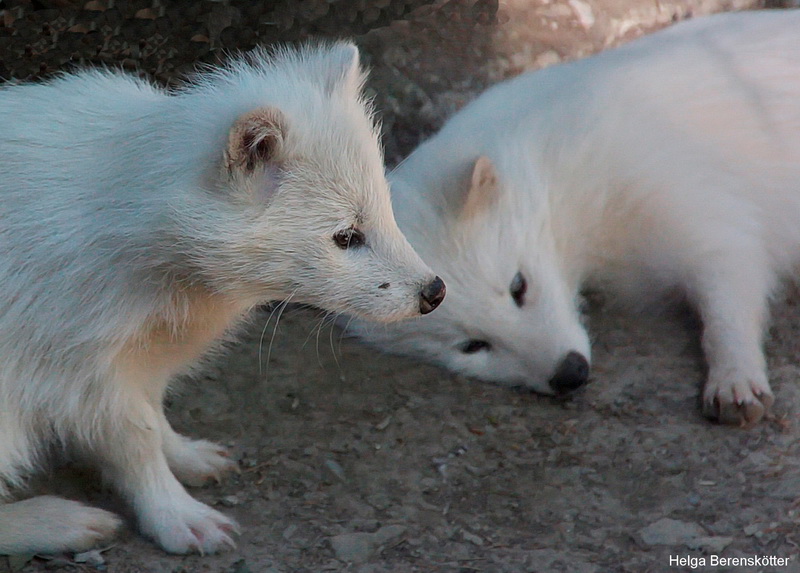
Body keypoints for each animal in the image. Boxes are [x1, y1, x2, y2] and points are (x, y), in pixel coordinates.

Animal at [0, 43, 444, 556]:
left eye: (386, 211)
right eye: (346, 237)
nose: (434, 292)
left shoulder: (140, 354)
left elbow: (152, 410)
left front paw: (183, 455)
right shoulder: (74, 368)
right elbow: (134, 441)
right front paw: (174, 514)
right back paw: (55, 520)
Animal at [348, 8, 800, 426]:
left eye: (518, 286)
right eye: (471, 345)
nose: (569, 373)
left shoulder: (680, 189)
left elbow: (730, 272)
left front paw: (735, 380)